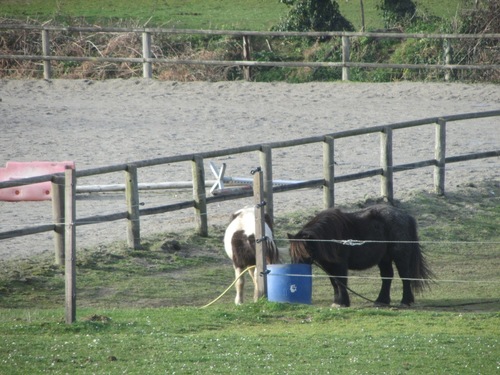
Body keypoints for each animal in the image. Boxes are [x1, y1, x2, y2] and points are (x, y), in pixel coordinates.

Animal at [290, 206, 434, 308]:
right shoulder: (329, 266)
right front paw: (337, 302)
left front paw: (343, 302)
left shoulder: (340, 265)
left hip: (400, 257)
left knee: (405, 276)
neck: (329, 236)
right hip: (384, 259)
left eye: (305, 251)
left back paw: (405, 301)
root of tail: (406, 216)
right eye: (292, 252)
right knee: (387, 277)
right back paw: (381, 300)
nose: (296, 271)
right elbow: (334, 283)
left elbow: (340, 282)